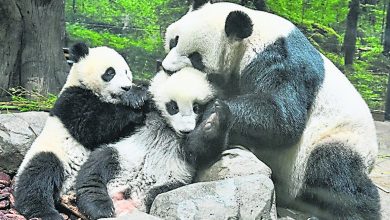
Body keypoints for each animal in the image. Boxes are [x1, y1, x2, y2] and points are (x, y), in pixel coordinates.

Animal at [13, 42, 148, 219]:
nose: (126, 87)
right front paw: (136, 98)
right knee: (38, 175)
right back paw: (44, 211)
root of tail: (65, 192)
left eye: (126, 72)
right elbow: (93, 125)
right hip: (52, 153)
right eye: (110, 72)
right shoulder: (72, 99)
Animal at [74, 67, 230, 220]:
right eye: (173, 107)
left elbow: (198, 149)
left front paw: (216, 119)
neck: (168, 127)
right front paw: (135, 96)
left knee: (160, 196)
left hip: (174, 180)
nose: (185, 130)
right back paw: (100, 207)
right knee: (97, 166)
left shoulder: (186, 147)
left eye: (196, 108)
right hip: (124, 157)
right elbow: (96, 129)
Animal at [161, 1, 380, 218]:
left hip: (339, 137)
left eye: (196, 58)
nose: (166, 69)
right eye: (174, 41)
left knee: (336, 173)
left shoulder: (282, 61)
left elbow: (282, 118)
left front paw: (210, 118)